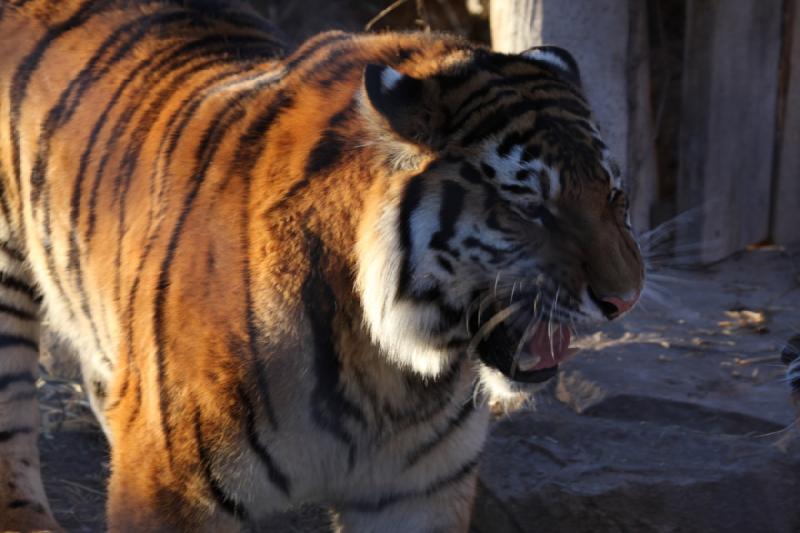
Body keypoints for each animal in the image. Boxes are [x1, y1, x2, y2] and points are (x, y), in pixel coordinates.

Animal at [0, 2, 644, 528]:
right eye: (531, 206)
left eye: (615, 196)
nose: (625, 300)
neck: (392, 374)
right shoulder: (170, 488)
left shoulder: (419, 494)